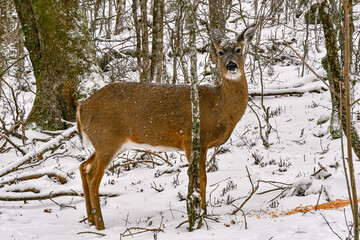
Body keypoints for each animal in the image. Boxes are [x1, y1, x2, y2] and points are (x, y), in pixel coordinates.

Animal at [77, 24, 256, 231]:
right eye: (220, 52)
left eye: (239, 49)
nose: (231, 66)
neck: (219, 106)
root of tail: (81, 108)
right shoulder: (192, 140)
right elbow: (200, 179)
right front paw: (202, 214)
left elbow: (200, 179)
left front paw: (202, 212)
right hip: (108, 138)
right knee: (93, 176)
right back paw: (100, 225)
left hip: (107, 142)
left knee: (83, 166)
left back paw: (90, 221)